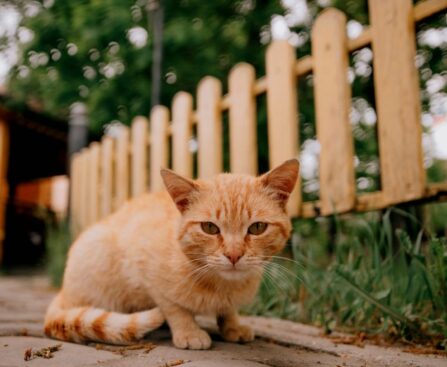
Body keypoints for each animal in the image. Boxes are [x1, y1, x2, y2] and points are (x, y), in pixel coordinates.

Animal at [43, 160, 300, 350]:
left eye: (257, 228)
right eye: (210, 228)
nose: (234, 254)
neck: (221, 285)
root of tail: (62, 292)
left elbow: (227, 310)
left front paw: (232, 325)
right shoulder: (147, 273)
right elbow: (173, 307)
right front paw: (188, 331)